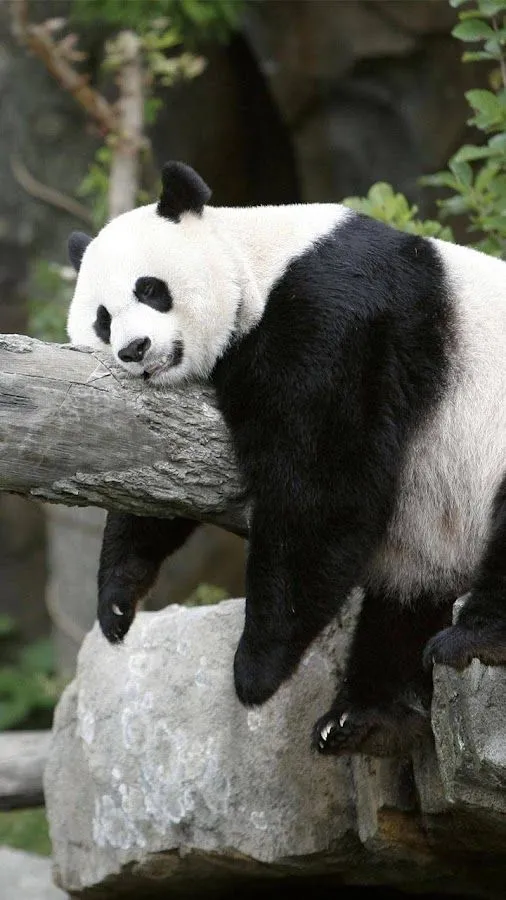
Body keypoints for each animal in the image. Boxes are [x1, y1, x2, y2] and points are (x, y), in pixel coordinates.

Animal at [66, 160, 506, 758]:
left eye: (151, 290)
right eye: (103, 319)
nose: (134, 350)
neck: (258, 262)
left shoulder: (335, 316)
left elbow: (321, 487)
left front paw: (255, 669)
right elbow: (162, 476)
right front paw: (117, 600)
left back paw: (470, 641)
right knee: (403, 598)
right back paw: (363, 716)